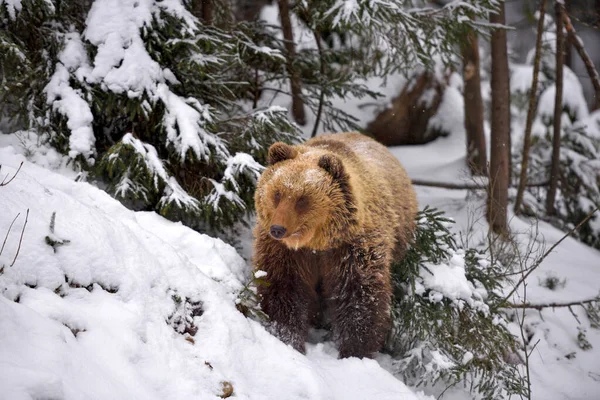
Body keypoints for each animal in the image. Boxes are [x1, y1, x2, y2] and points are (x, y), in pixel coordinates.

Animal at [253, 132, 418, 360]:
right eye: (277, 194)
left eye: (302, 199)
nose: (278, 229)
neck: (316, 244)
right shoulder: (284, 253)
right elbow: (282, 290)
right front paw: (288, 338)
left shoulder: (351, 249)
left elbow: (359, 296)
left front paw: (355, 351)